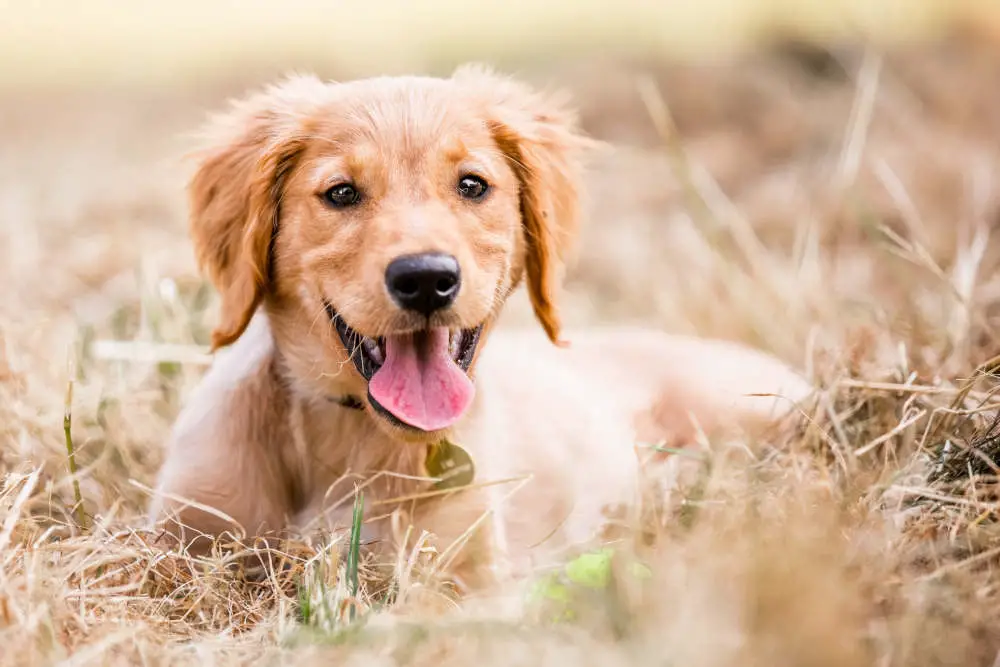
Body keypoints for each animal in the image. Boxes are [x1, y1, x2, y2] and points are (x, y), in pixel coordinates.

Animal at [150, 66, 812, 588]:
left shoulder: (466, 578)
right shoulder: (178, 536)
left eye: (472, 185)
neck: (347, 436)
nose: (425, 279)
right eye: (340, 193)